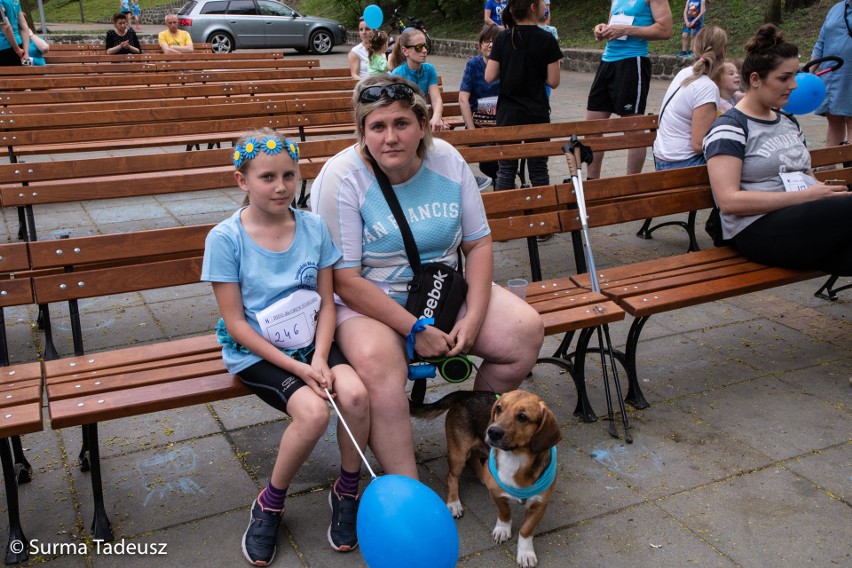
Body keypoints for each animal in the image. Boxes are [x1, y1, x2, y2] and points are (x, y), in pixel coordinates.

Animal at [412, 388, 564, 564]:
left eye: (522, 417)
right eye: (499, 408)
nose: (492, 432)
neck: (515, 458)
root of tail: (466, 393)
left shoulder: (540, 504)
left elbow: (526, 530)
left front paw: (525, 552)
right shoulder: (497, 495)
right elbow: (505, 513)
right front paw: (503, 529)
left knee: (474, 458)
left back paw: (483, 476)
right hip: (458, 454)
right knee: (451, 476)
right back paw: (454, 503)